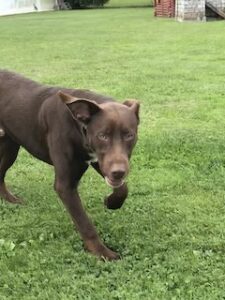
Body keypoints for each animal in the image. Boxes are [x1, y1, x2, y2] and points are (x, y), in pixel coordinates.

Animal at [0, 71, 140, 260]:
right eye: (102, 135)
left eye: (129, 135)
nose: (119, 172)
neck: (79, 126)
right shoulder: (66, 185)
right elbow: (84, 223)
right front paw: (102, 252)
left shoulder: (98, 160)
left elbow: (122, 188)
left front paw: (111, 202)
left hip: (10, 146)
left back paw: (10, 200)